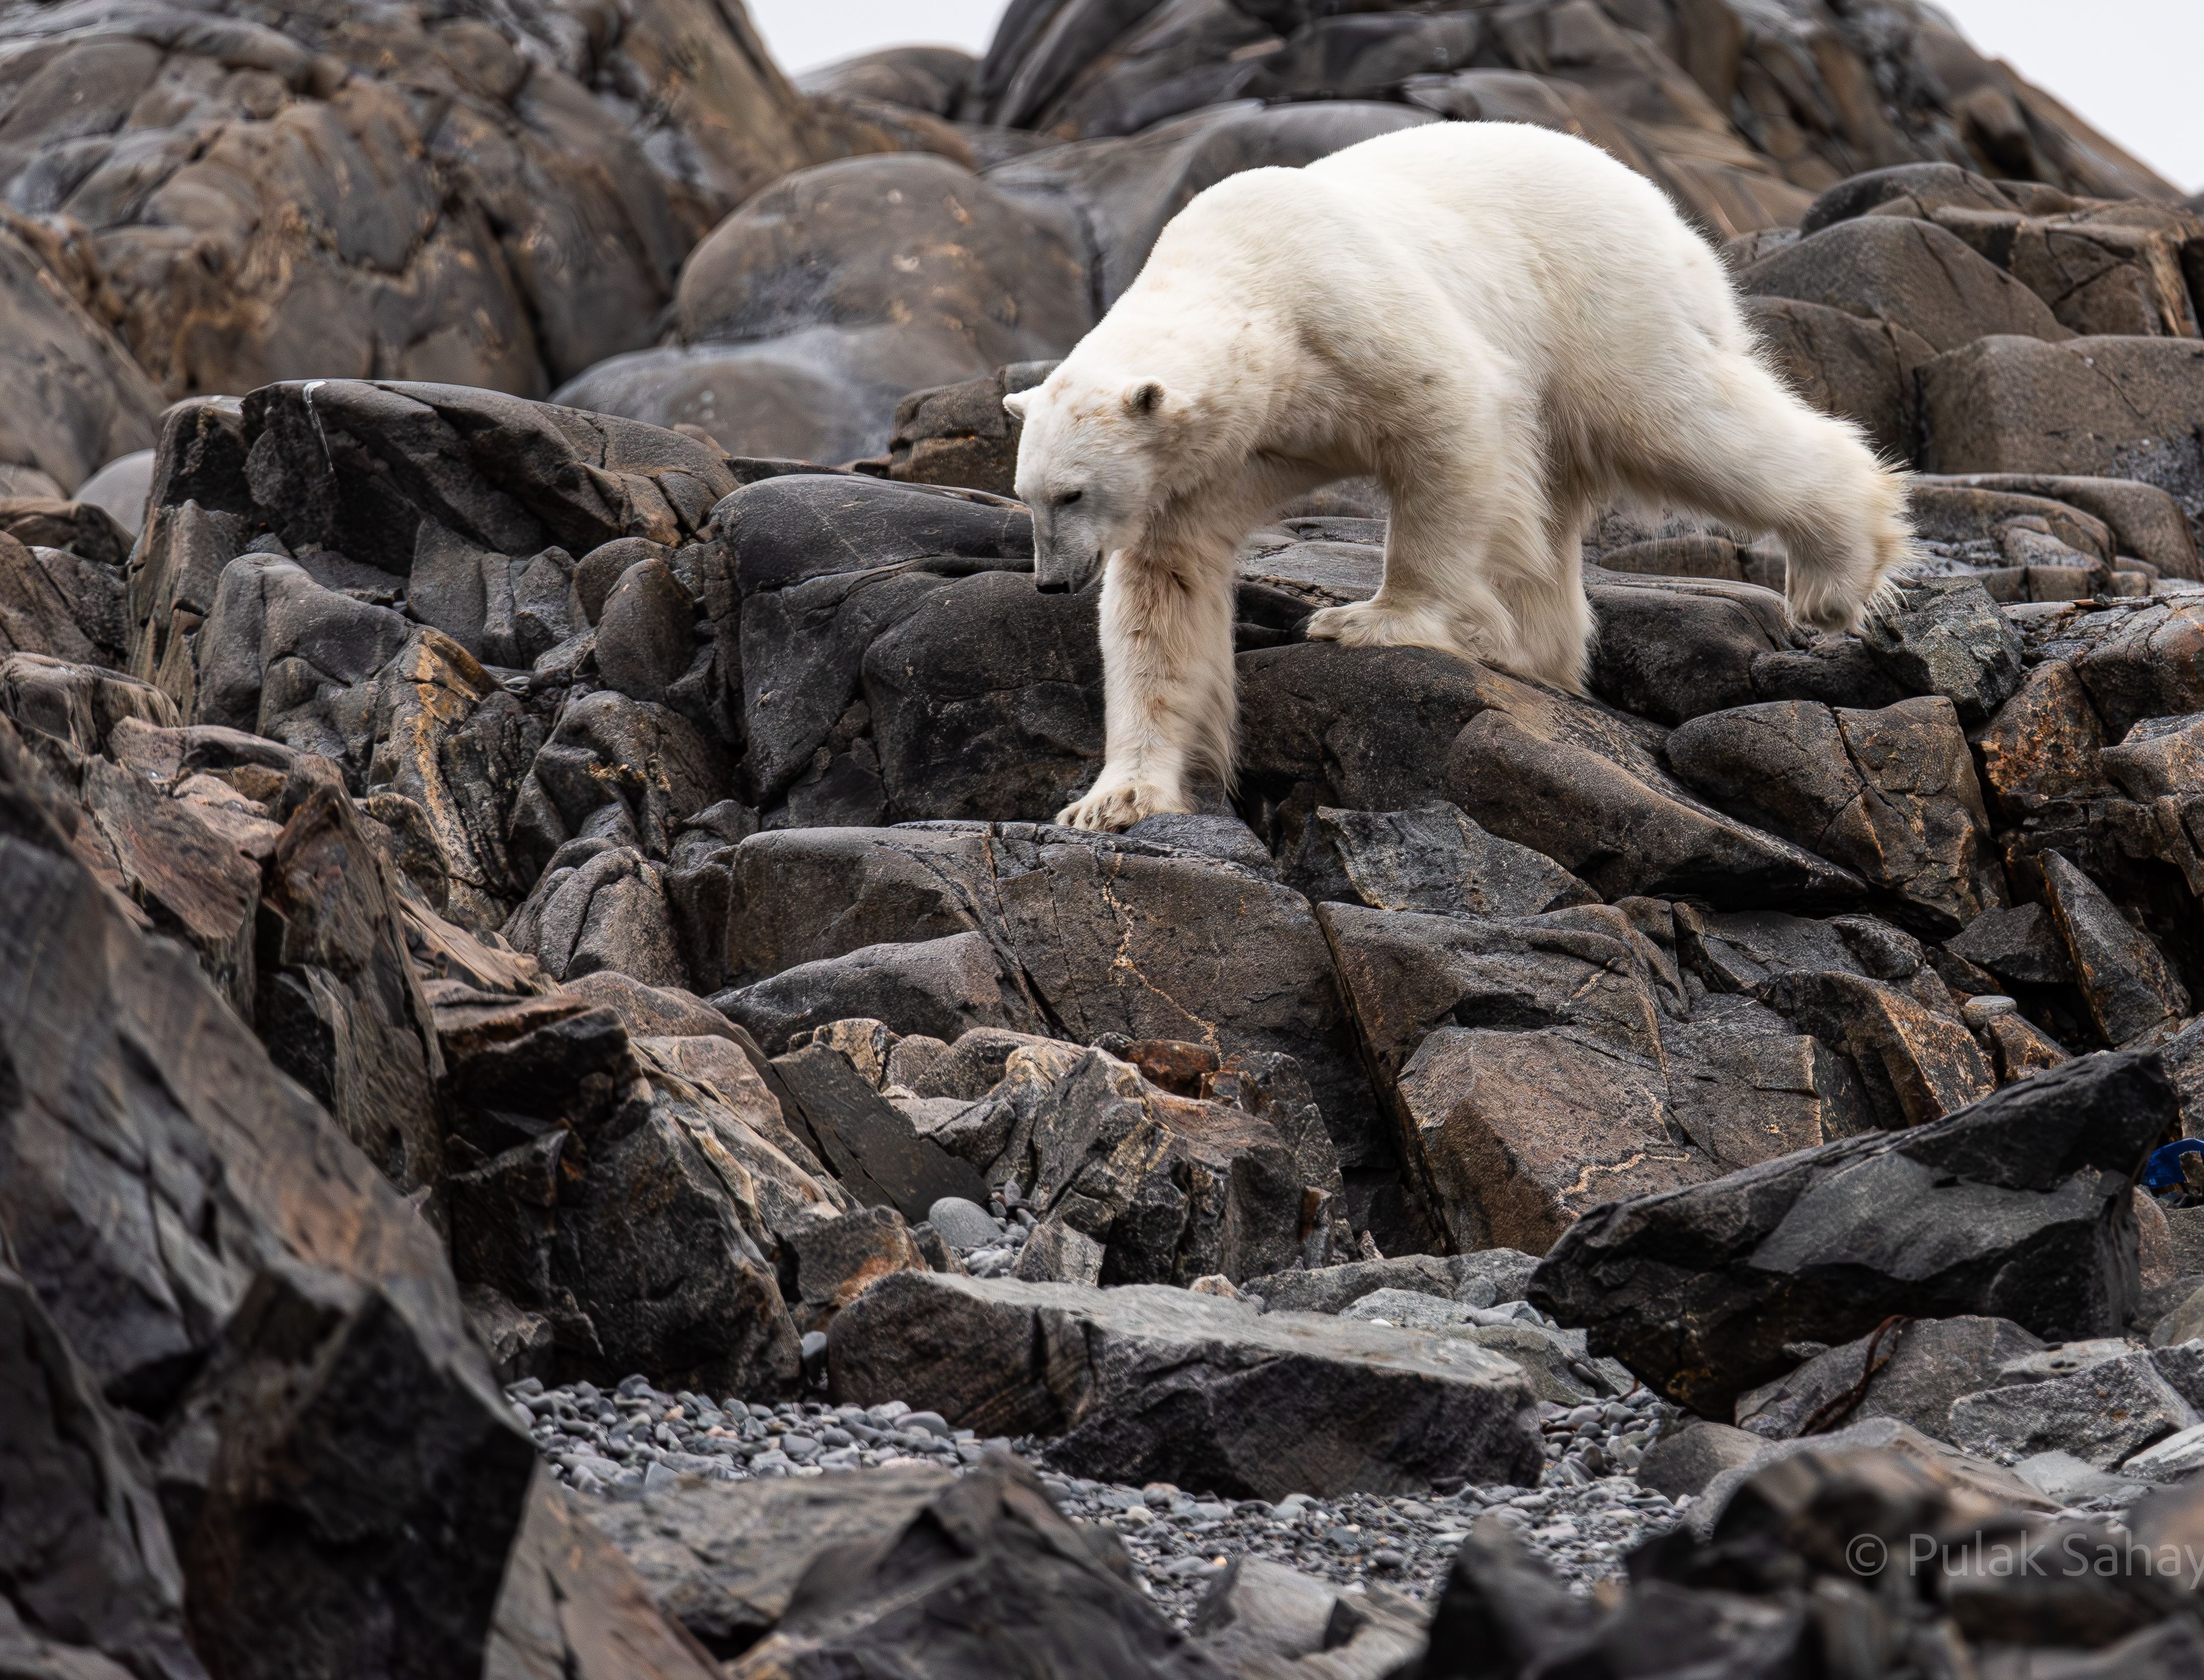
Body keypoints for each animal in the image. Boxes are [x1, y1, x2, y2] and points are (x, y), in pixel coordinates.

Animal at [1005, 120, 1913, 834]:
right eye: (1029, 497)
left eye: (1073, 493)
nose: (1052, 581)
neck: (1248, 282)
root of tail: (1665, 209)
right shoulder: (1219, 455)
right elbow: (1165, 591)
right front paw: (1115, 798)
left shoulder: (1346, 313)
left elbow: (1452, 421)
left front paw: (1372, 621)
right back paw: (1534, 652)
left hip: (1602, 303)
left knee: (1680, 422)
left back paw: (1838, 569)